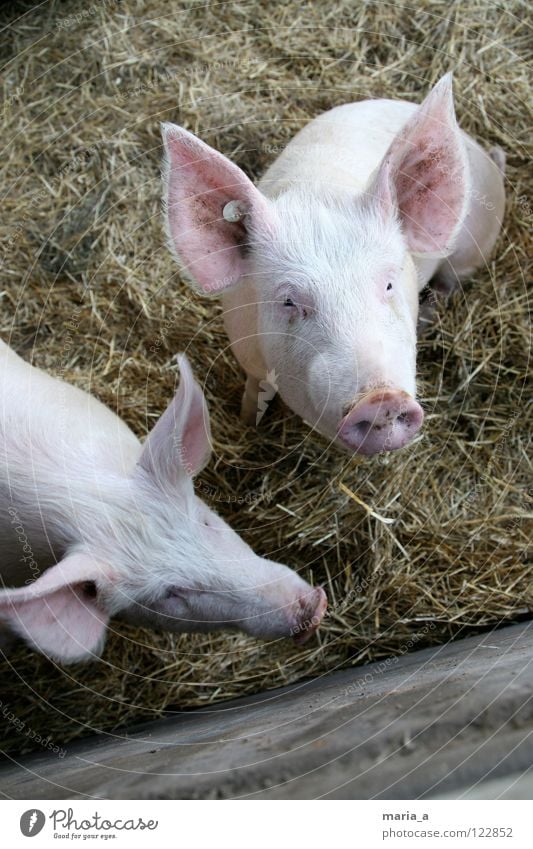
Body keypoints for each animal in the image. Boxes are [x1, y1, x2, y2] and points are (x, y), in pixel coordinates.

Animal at [161, 73, 502, 454]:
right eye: (289, 301)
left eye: (389, 284)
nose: (382, 400)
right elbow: (255, 389)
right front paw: (248, 421)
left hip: (470, 251)